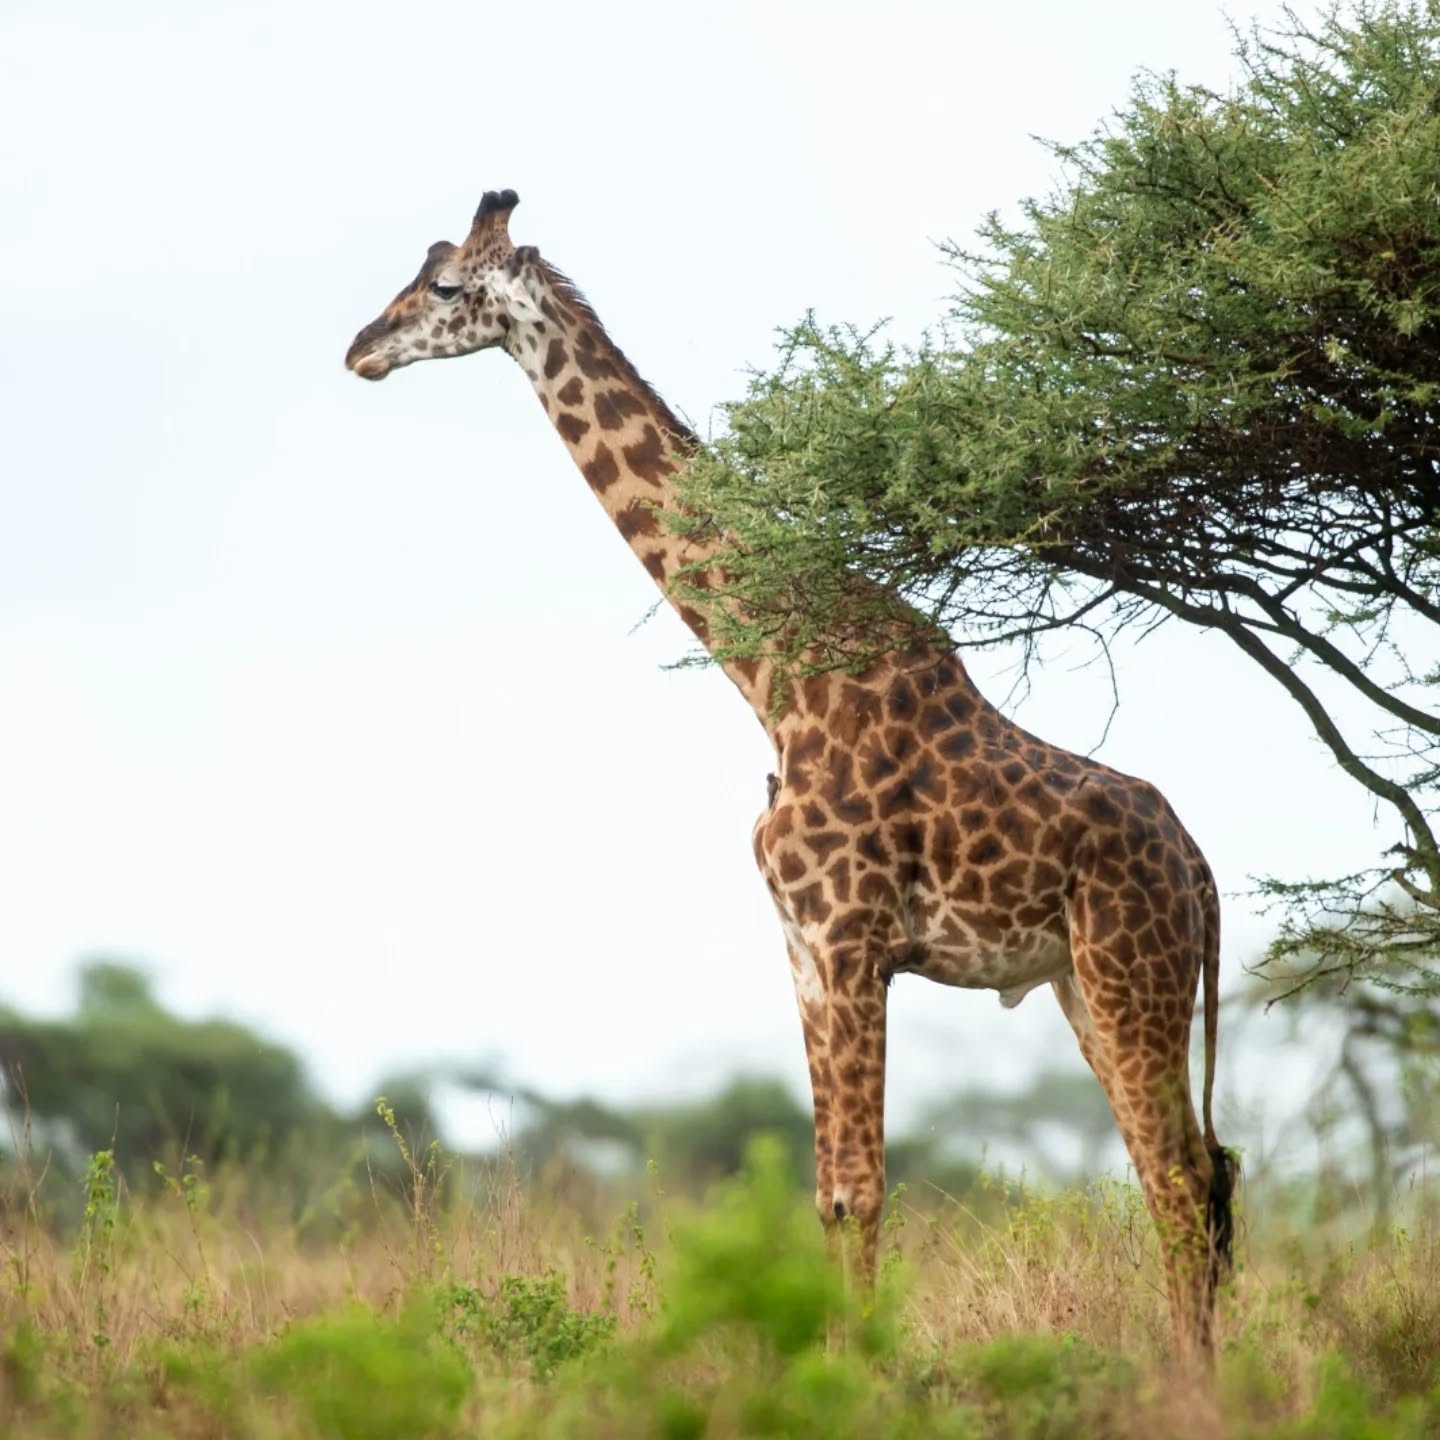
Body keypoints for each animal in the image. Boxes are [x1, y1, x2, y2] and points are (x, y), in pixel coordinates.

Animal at [344, 189, 1236, 1362]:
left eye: (445, 286)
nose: (359, 348)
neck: (775, 677)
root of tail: (1204, 876)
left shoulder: (852, 938)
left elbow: (862, 1189)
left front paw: (862, 1374)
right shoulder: (802, 949)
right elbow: (826, 1194)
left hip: (1133, 972)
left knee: (1180, 1178)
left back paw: (1193, 1381)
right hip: (1084, 983)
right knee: (1189, 1170)